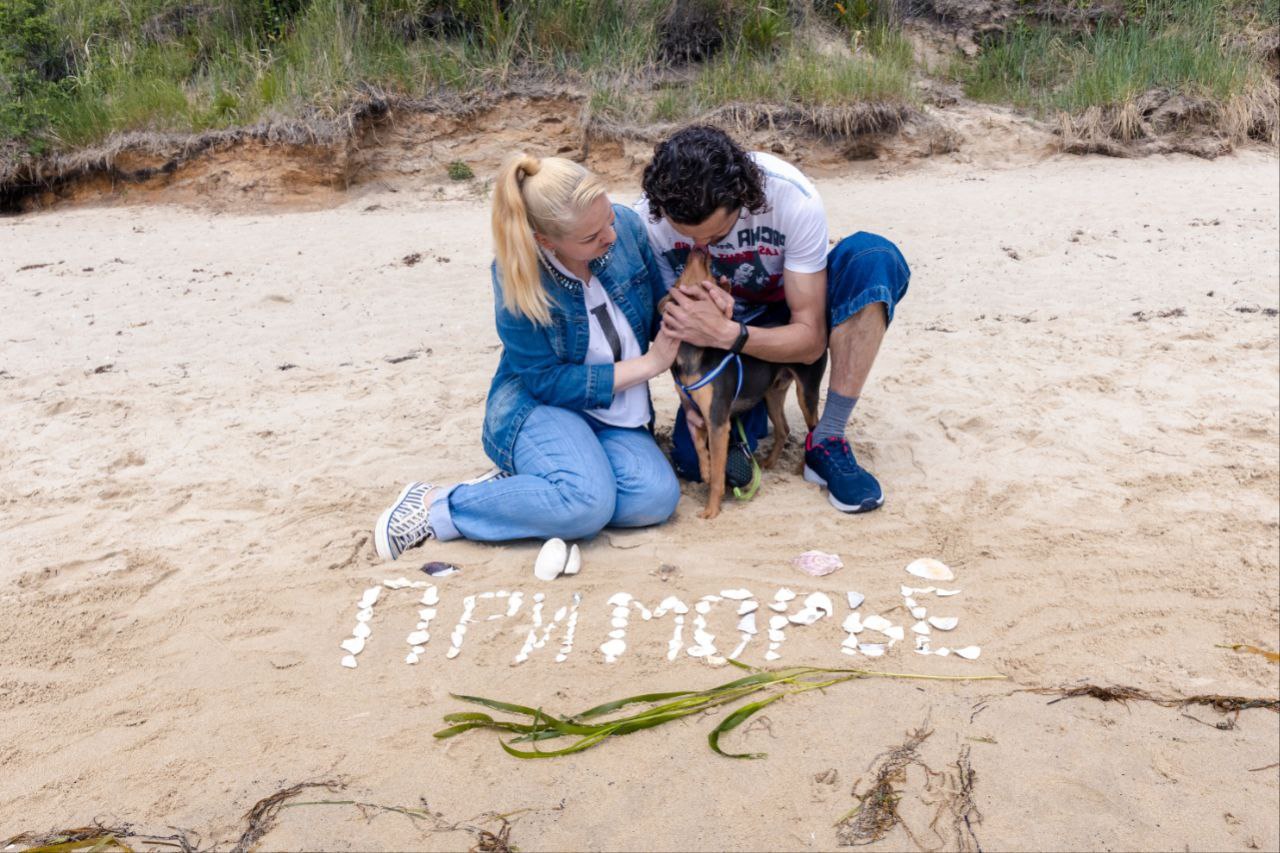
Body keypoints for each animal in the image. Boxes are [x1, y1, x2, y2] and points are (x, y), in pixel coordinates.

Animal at [661, 248, 828, 519]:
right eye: (677, 282)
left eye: (710, 282)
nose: (699, 249)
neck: (692, 351)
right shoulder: (696, 414)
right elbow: (699, 448)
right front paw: (705, 470)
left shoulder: (718, 421)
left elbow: (719, 473)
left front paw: (712, 509)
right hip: (772, 395)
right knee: (784, 429)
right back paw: (769, 462)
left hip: (807, 391)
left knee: (815, 429)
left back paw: (803, 466)